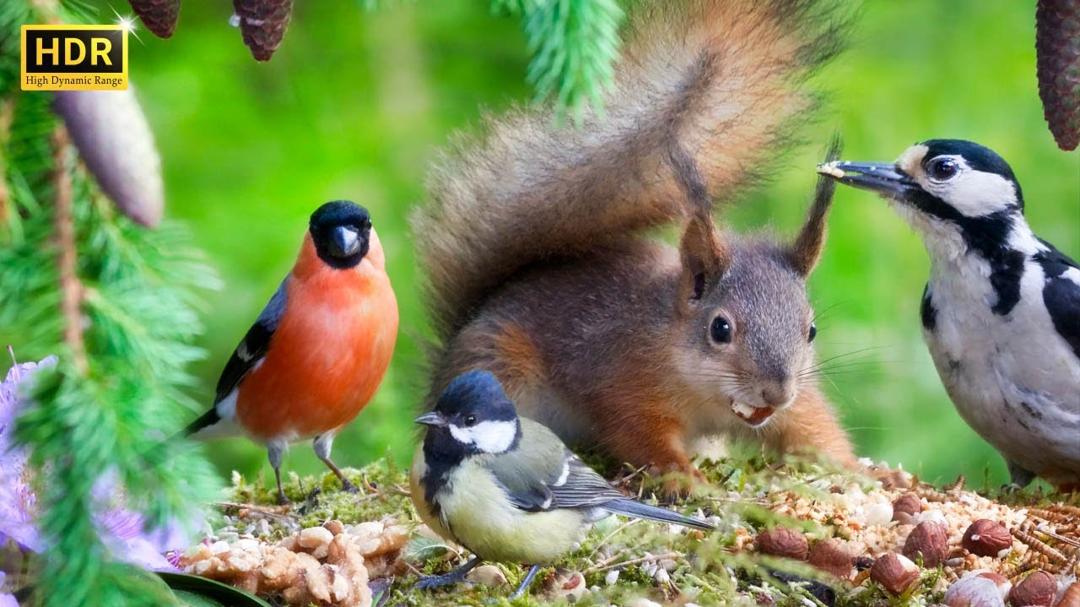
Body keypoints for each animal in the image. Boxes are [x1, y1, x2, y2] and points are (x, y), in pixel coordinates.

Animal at [413, 0, 857, 493]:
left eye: (810, 330)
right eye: (720, 329)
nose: (775, 393)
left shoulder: (794, 404)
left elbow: (811, 426)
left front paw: (855, 467)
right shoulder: (624, 380)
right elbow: (640, 435)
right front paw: (684, 478)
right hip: (496, 373)